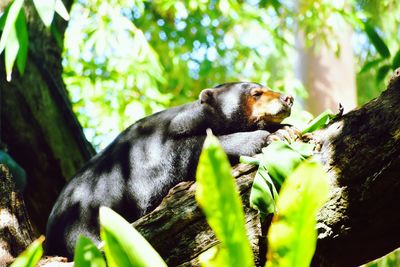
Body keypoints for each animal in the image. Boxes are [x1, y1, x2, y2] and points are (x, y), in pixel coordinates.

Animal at [45, 82, 296, 260]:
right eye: (256, 93)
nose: (288, 98)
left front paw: (285, 130)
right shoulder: (150, 157)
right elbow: (190, 152)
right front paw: (263, 138)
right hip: (83, 219)